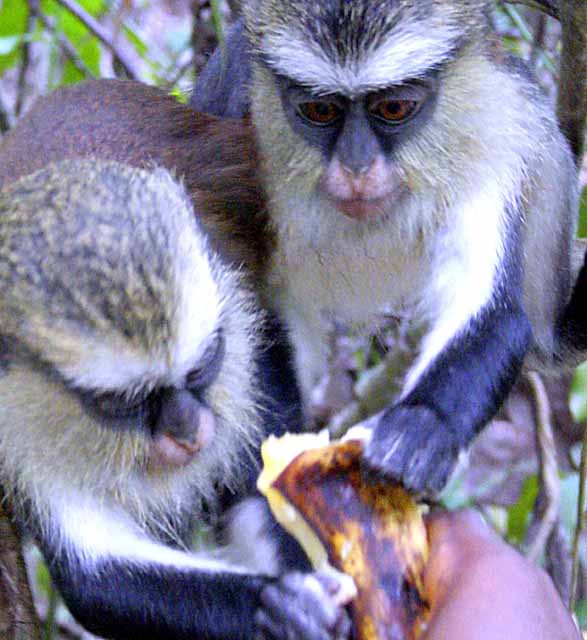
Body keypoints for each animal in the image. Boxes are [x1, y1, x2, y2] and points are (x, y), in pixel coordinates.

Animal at [0, 158, 353, 640]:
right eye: (122, 403)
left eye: (202, 366)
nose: (186, 429)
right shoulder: (21, 440)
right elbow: (97, 574)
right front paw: (282, 606)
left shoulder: (248, 352)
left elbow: (265, 489)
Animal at [190, 0, 581, 496]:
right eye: (320, 109)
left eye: (394, 107)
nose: (357, 167)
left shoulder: (494, 139)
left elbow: (496, 313)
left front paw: (424, 427)